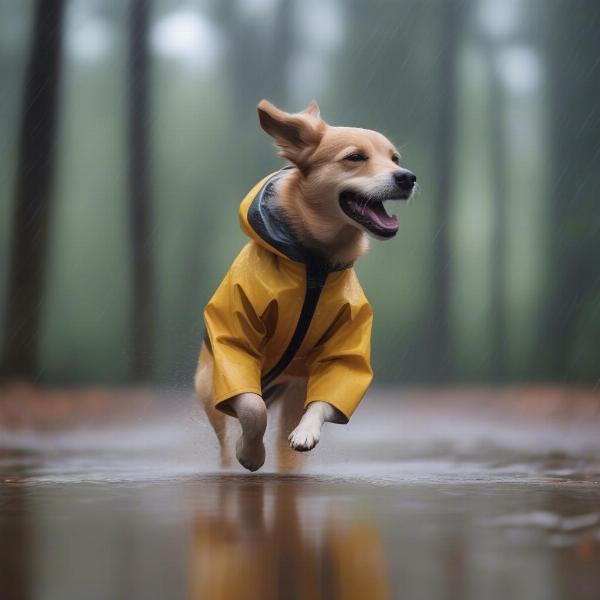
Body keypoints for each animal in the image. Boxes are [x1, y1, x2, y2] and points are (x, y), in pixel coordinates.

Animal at [195, 101, 414, 472]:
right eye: (355, 157)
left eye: (395, 158)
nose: (408, 177)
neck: (314, 263)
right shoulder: (235, 345)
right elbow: (251, 408)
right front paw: (250, 453)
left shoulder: (343, 347)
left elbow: (329, 394)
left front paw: (305, 433)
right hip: (210, 387)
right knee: (231, 426)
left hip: (292, 389)